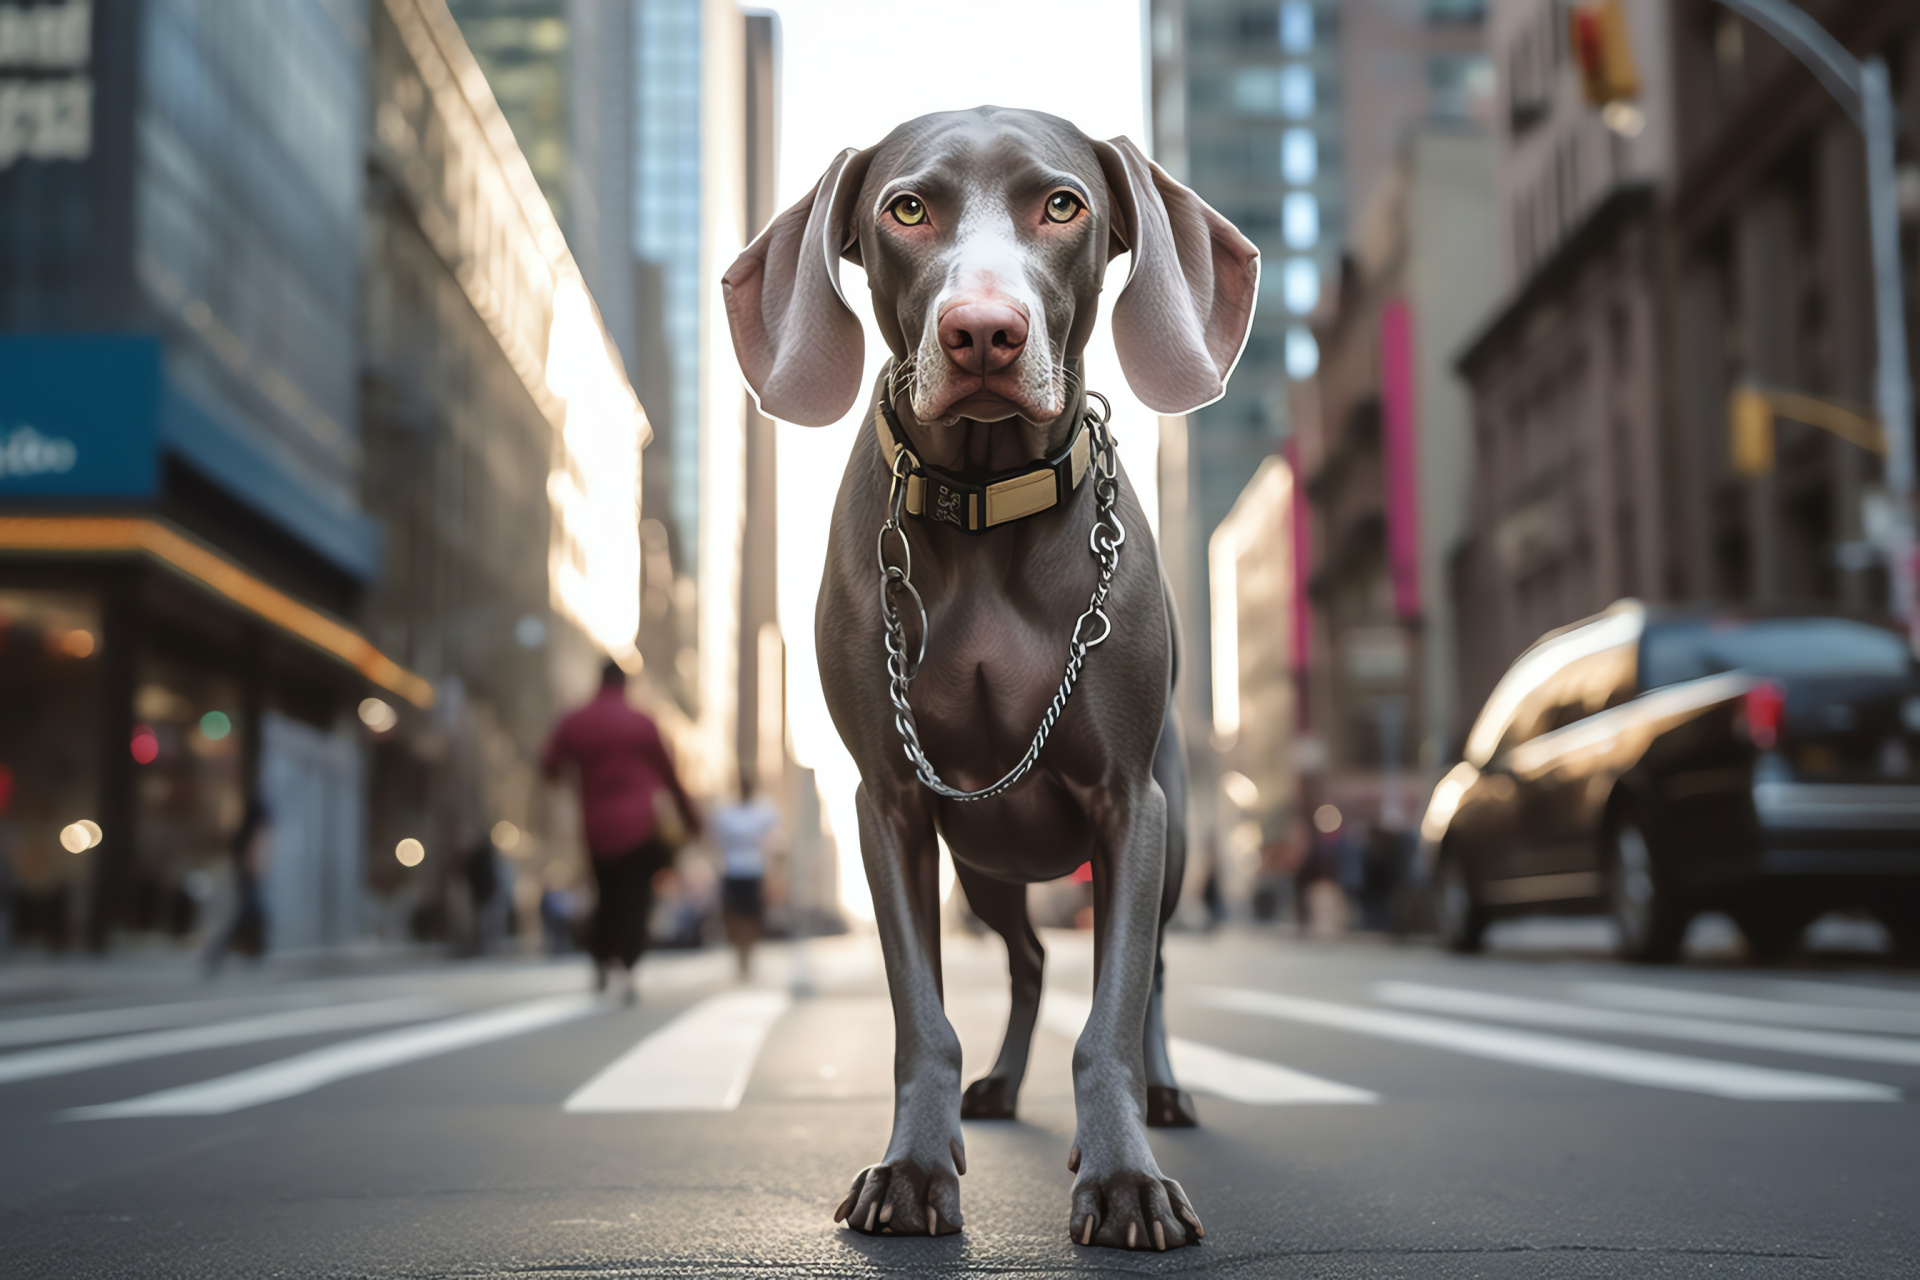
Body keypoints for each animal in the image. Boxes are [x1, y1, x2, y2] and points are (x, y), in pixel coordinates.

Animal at [721, 107, 1259, 1251]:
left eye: (1062, 204)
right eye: (905, 209)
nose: (982, 333)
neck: (982, 498)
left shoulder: (1125, 801)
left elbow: (1109, 1017)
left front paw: (1124, 1178)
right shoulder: (891, 801)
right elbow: (922, 1015)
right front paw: (914, 1168)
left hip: (1173, 836)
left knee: (1146, 970)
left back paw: (1164, 1092)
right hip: (985, 865)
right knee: (1028, 961)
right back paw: (1006, 1085)